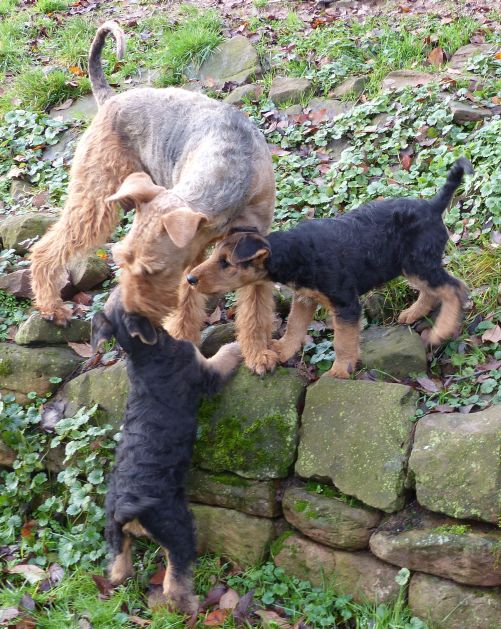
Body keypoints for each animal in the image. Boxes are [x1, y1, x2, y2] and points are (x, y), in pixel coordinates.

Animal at [31, 21, 277, 374]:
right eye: (121, 261)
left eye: (152, 270)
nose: (132, 318)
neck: (231, 168)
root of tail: (110, 98)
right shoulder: (192, 259)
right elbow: (186, 307)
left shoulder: (253, 246)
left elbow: (256, 307)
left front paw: (258, 353)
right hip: (96, 199)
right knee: (47, 248)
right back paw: (52, 307)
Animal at [91, 289, 242, 616]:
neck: (145, 354)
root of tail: (125, 508)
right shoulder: (202, 371)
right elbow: (221, 358)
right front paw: (237, 346)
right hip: (178, 528)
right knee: (176, 576)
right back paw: (191, 605)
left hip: (113, 533)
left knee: (119, 567)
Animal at [186, 158, 472, 378]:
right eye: (216, 255)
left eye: (226, 263)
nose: (190, 278)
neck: (296, 253)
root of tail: (433, 206)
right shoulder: (304, 297)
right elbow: (294, 327)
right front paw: (282, 350)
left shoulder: (346, 305)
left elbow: (342, 341)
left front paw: (340, 370)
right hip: (411, 266)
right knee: (434, 291)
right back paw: (413, 313)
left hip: (418, 264)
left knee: (456, 288)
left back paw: (440, 331)